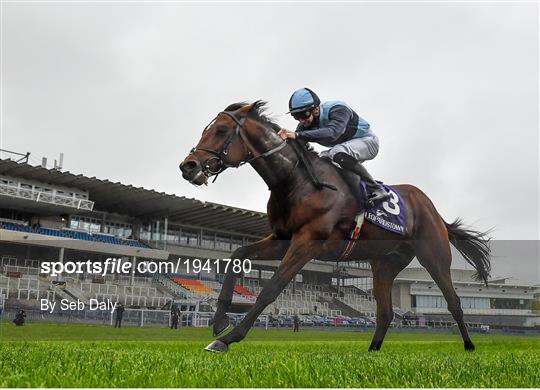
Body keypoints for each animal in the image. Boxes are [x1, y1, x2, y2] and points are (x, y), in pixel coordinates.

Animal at [179, 100, 492, 354]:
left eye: (221, 131)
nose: (188, 166)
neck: (297, 181)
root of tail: (434, 211)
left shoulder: (306, 242)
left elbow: (271, 288)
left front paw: (228, 339)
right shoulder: (281, 238)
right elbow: (236, 256)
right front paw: (219, 320)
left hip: (433, 256)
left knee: (454, 302)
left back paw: (469, 346)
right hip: (384, 263)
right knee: (385, 312)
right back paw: (373, 350)